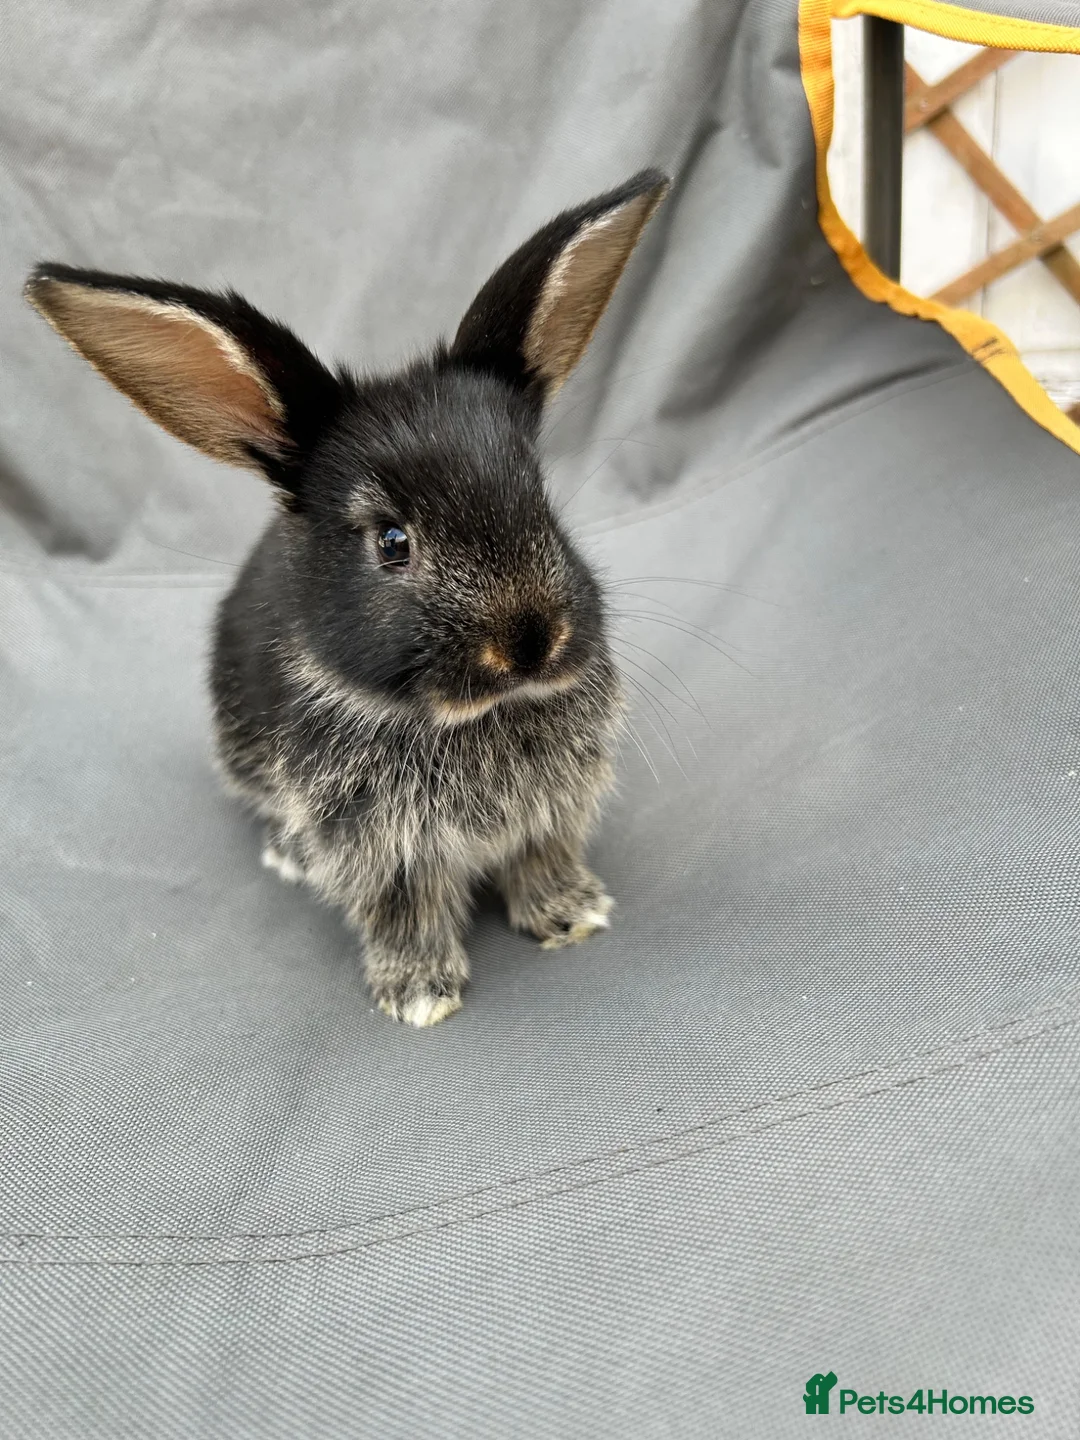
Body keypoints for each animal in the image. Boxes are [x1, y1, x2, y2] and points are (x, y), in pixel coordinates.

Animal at [25, 169, 669, 1025]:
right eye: (391, 542)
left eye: (540, 502)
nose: (532, 642)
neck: (473, 718)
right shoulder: (380, 848)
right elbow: (405, 908)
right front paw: (420, 992)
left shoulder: (550, 815)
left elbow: (541, 860)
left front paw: (573, 916)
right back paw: (288, 857)